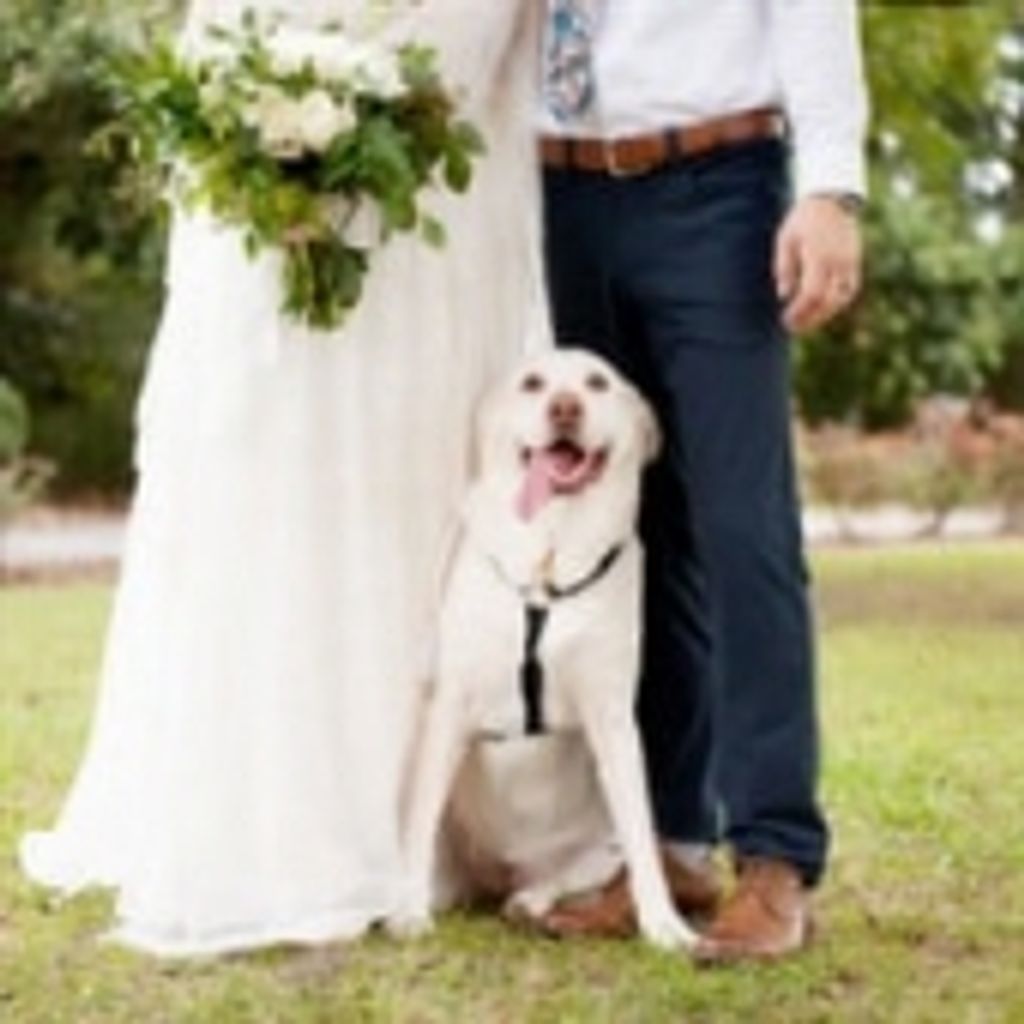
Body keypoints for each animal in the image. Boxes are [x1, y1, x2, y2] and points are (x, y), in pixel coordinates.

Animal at [391, 349, 696, 951]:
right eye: (533, 384)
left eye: (598, 383)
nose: (565, 408)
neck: (548, 563)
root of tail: (507, 871)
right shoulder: (449, 706)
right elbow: (418, 822)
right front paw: (410, 908)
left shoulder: (612, 717)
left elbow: (641, 838)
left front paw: (663, 923)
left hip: (598, 846)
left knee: (576, 871)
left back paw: (532, 900)